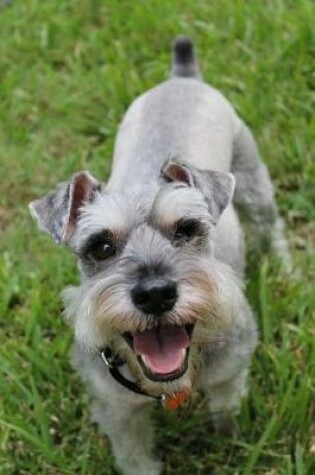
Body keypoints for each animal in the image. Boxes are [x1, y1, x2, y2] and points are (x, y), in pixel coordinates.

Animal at [29, 35, 292, 474]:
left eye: (186, 229)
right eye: (101, 245)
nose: (155, 294)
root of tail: (182, 77)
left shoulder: (230, 372)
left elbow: (226, 412)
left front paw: (231, 445)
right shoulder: (118, 410)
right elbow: (134, 455)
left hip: (253, 179)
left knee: (271, 226)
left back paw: (289, 271)